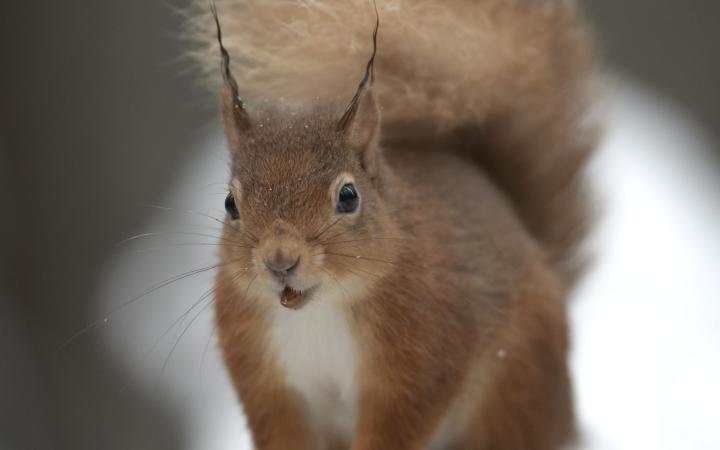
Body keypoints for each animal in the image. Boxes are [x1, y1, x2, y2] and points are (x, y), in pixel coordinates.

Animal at [193, 0, 597, 449]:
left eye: (348, 196)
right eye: (230, 204)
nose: (280, 261)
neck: (319, 311)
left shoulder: (417, 363)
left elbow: (400, 423)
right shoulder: (269, 383)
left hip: (518, 390)